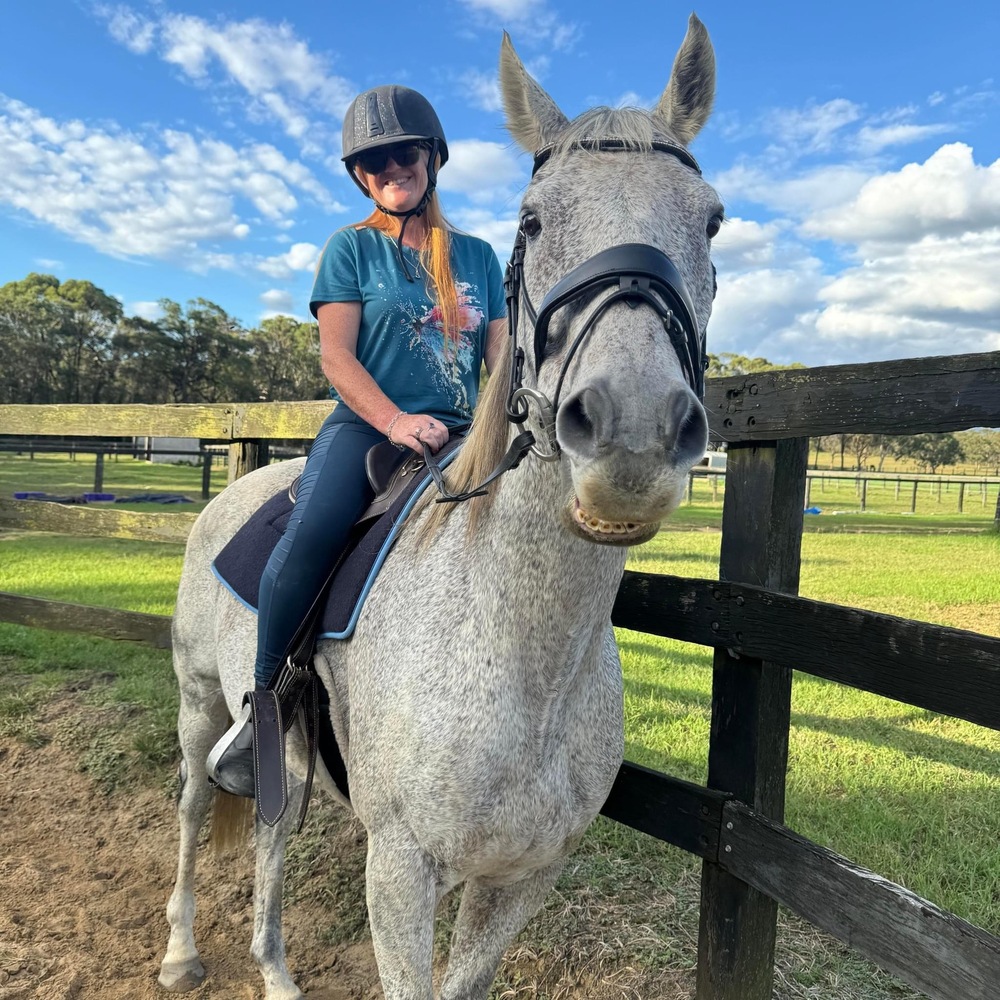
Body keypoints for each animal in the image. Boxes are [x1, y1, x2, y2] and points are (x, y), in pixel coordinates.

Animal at [159, 15, 720, 1000]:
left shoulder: (523, 878)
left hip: (283, 756)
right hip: (198, 707)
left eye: (714, 219)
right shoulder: (400, 868)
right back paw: (183, 949)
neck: (524, 662)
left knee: (271, 829)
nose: (634, 430)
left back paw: (274, 968)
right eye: (533, 220)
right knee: (195, 807)